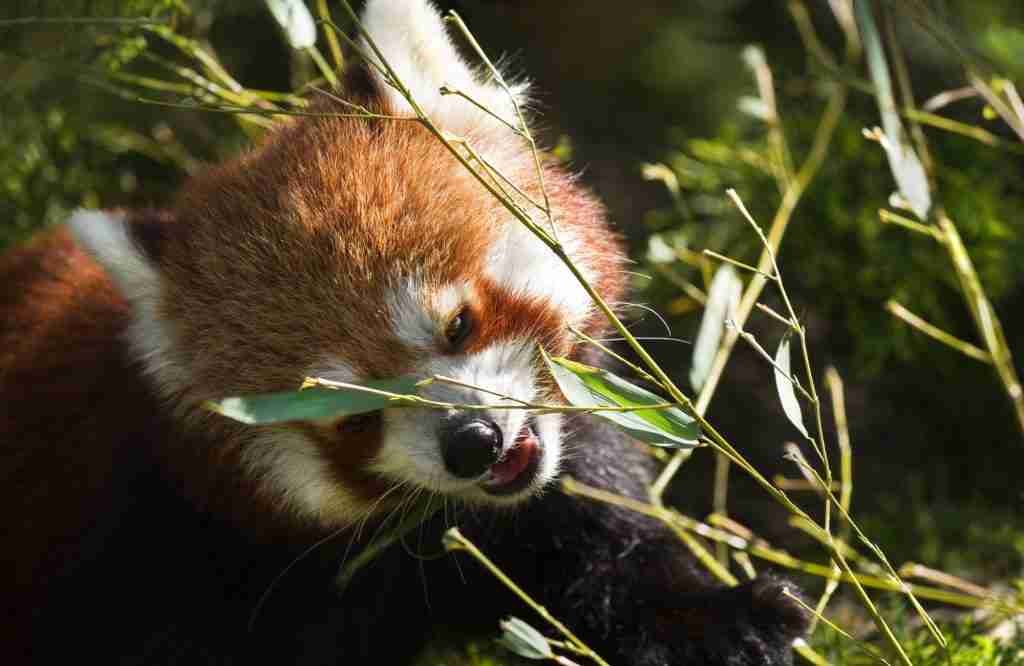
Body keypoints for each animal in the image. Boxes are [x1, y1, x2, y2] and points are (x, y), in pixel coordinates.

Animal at [2, 2, 806, 659]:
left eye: (458, 323)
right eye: (352, 418)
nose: (471, 441)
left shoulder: (555, 496)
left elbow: (611, 575)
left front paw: (730, 621)